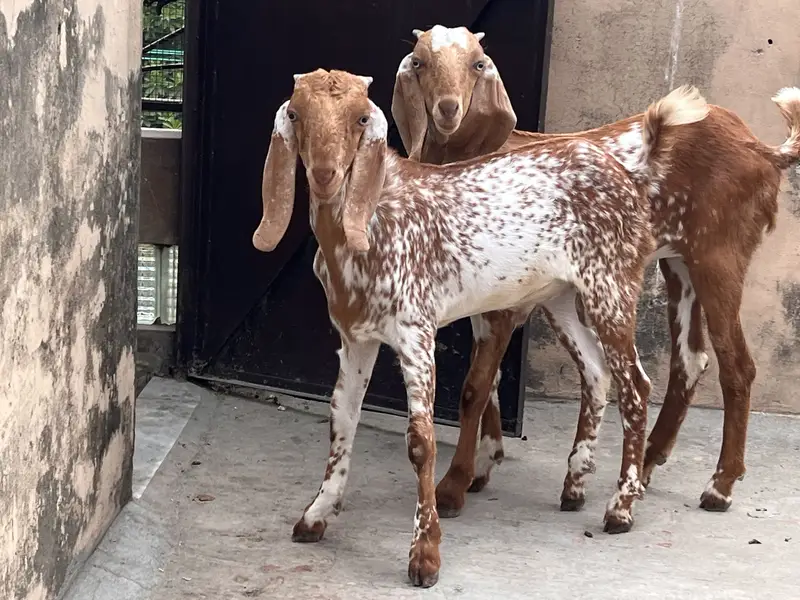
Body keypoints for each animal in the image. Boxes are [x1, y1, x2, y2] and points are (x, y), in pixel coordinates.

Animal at [252, 68, 708, 586]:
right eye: (295, 114)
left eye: (361, 118)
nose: (326, 174)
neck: (375, 215)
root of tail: (626, 171)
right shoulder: (355, 337)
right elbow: (341, 419)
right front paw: (316, 514)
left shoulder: (416, 330)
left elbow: (421, 442)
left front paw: (425, 554)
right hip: (560, 297)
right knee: (596, 372)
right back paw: (574, 485)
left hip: (611, 284)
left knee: (636, 385)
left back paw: (621, 507)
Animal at [392, 24, 800, 519]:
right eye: (419, 62)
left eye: (478, 63)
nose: (448, 108)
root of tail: (761, 149)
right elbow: (488, 383)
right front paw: (486, 463)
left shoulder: (505, 307)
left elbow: (475, 386)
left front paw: (454, 485)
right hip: (679, 262)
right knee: (690, 359)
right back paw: (645, 466)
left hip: (720, 255)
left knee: (736, 365)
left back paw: (718, 486)